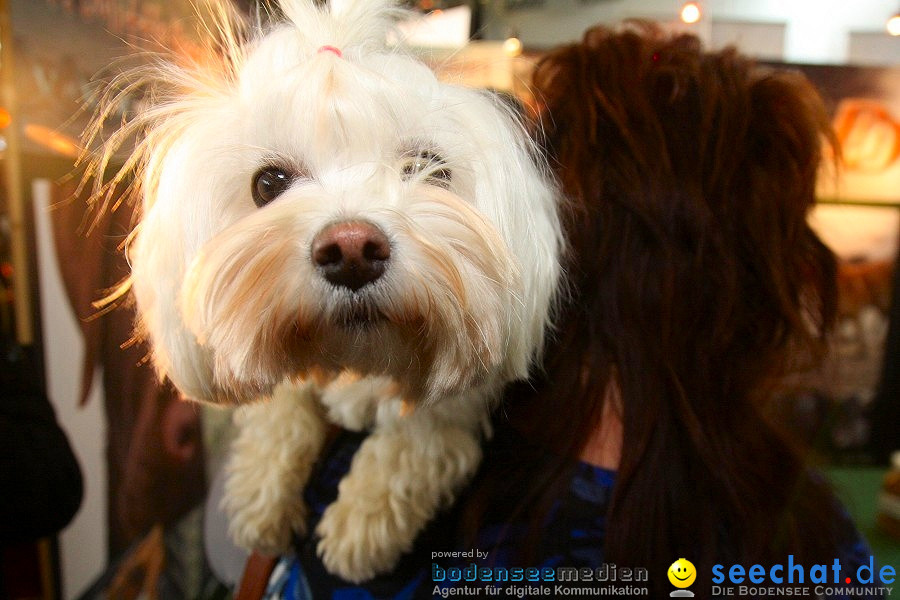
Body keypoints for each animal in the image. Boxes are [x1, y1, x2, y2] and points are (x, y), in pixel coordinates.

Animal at [86, 0, 564, 584]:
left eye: (427, 167)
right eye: (268, 184)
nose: (352, 247)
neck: (358, 355)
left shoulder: (472, 375)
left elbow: (422, 431)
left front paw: (363, 516)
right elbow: (279, 406)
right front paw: (262, 491)